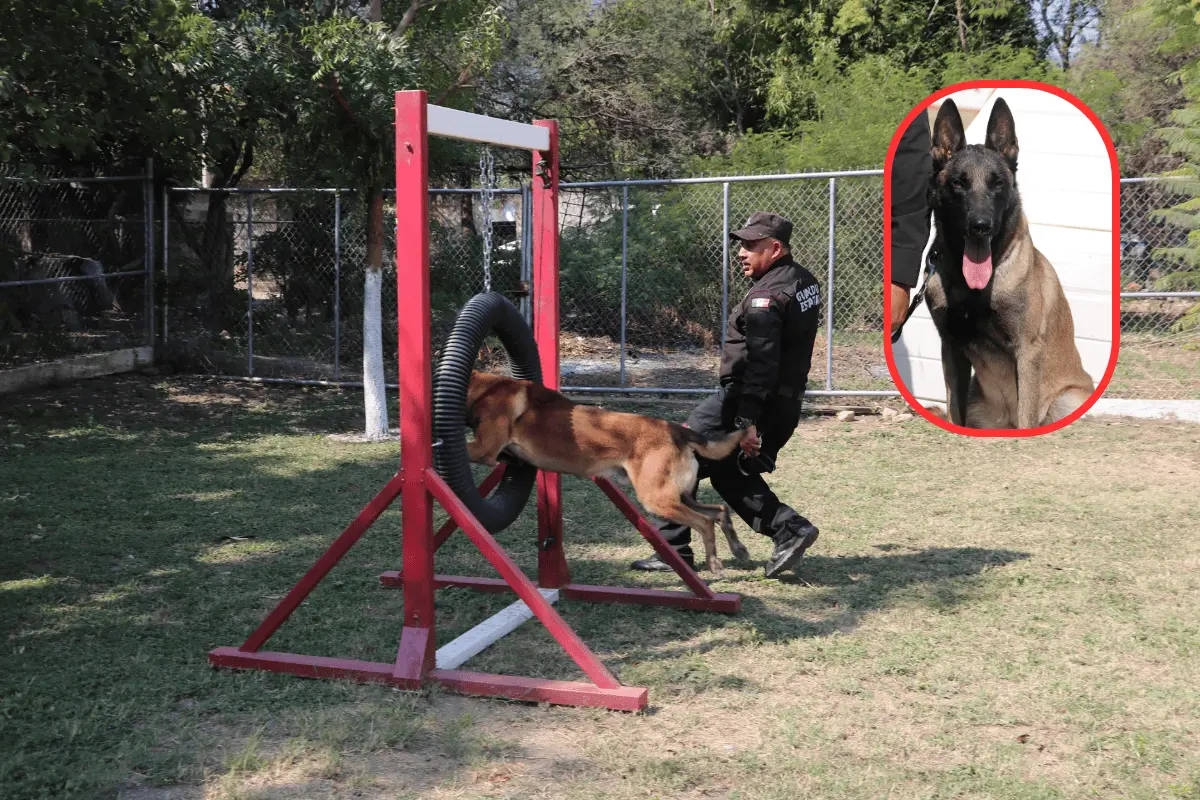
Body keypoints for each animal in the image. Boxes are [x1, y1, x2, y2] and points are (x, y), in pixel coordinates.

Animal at [463, 371, 753, 573]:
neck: (483, 388)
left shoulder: (483, 449)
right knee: (720, 511)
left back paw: (715, 563)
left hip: (656, 498)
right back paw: (739, 549)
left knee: (704, 522)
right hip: (679, 495)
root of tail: (675, 430)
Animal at [921, 97, 1094, 429]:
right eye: (959, 183)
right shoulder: (952, 350)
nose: (980, 226)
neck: (972, 287)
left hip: (1068, 400)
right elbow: (954, 412)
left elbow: (1027, 413)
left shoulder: (1027, 352)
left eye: (998, 183)